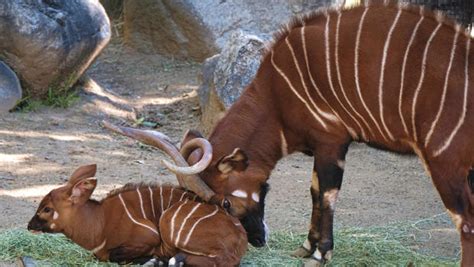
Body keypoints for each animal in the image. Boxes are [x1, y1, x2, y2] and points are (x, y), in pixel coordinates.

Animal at [27, 164, 248, 266]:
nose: (30, 225)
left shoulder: (150, 236)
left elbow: (114, 255)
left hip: (169, 221)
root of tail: (240, 237)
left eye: (47, 208)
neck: (100, 222)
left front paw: (150, 259)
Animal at [105, 1, 474, 266]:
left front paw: (320, 254)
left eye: (225, 202)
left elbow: (326, 195)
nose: (256, 241)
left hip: (445, 164)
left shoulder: (332, 143)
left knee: (465, 221)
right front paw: (305, 247)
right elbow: (313, 191)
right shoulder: (321, 148)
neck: (277, 92)